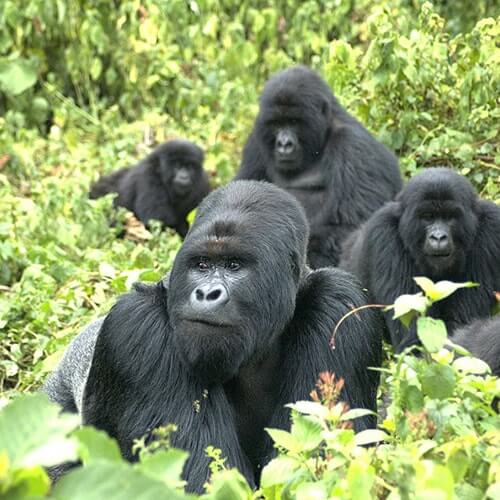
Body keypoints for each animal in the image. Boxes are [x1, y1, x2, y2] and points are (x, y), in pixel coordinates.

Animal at [46, 181, 382, 492]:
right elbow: (204, 481)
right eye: (202, 265)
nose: (207, 293)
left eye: (234, 265)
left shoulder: (341, 304)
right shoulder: (137, 329)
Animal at [234, 67, 402, 270]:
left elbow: (348, 227)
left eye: (294, 122)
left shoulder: (354, 146)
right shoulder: (256, 140)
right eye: (276, 123)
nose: (284, 144)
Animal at [340, 167, 500, 352]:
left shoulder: (492, 228)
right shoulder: (384, 233)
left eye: (450, 217)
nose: (438, 237)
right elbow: (414, 337)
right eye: (427, 216)